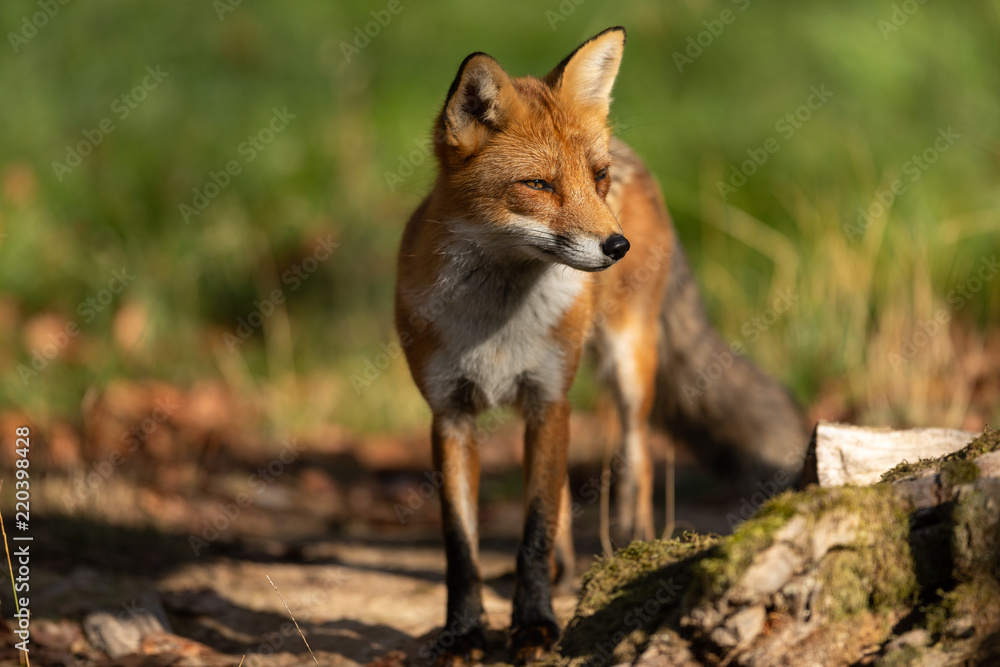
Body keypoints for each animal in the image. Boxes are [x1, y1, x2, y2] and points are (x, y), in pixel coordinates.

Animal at [395, 26, 808, 665]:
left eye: (596, 178)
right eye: (538, 185)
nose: (618, 245)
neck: (497, 327)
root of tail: (636, 154)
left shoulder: (548, 398)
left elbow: (534, 532)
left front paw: (535, 627)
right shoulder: (453, 414)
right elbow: (463, 546)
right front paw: (463, 633)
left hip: (626, 368)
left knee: (636, 461)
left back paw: (631, 550)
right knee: (563, 495)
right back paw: (564, 572)